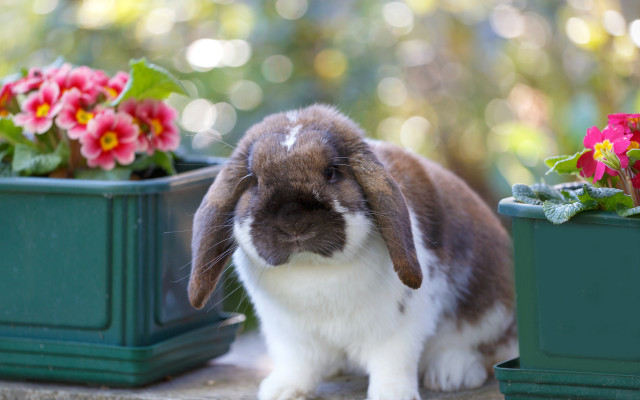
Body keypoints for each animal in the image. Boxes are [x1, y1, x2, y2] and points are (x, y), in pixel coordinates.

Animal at [188, 104, 516, 400]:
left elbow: (392, 363)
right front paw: (282, 391)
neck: (312, 269)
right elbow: (298, 365)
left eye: (332, 172)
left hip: (492, 309)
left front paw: (392, 395)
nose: (293, 221)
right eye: (254, 180)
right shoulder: (289, 335)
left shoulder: (398, 327)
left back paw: (450, 374)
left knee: (488, 347)